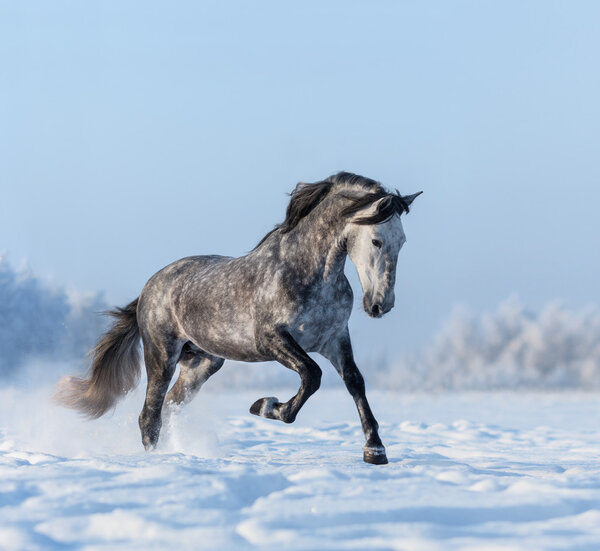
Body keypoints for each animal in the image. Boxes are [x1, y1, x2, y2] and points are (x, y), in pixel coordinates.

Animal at [56, 172, 422, 466]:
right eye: (376, 240)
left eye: (403, 241)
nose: (380, 305)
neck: (308, 274)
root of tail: (150, 286)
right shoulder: (273, 339)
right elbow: (312, 375)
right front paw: (266, 406)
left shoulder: (334, 338)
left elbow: (355, 383)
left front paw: (375, 451)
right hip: (162, 356)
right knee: (150, 414)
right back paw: (160, 459)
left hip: (202, 363)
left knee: (171, 406)